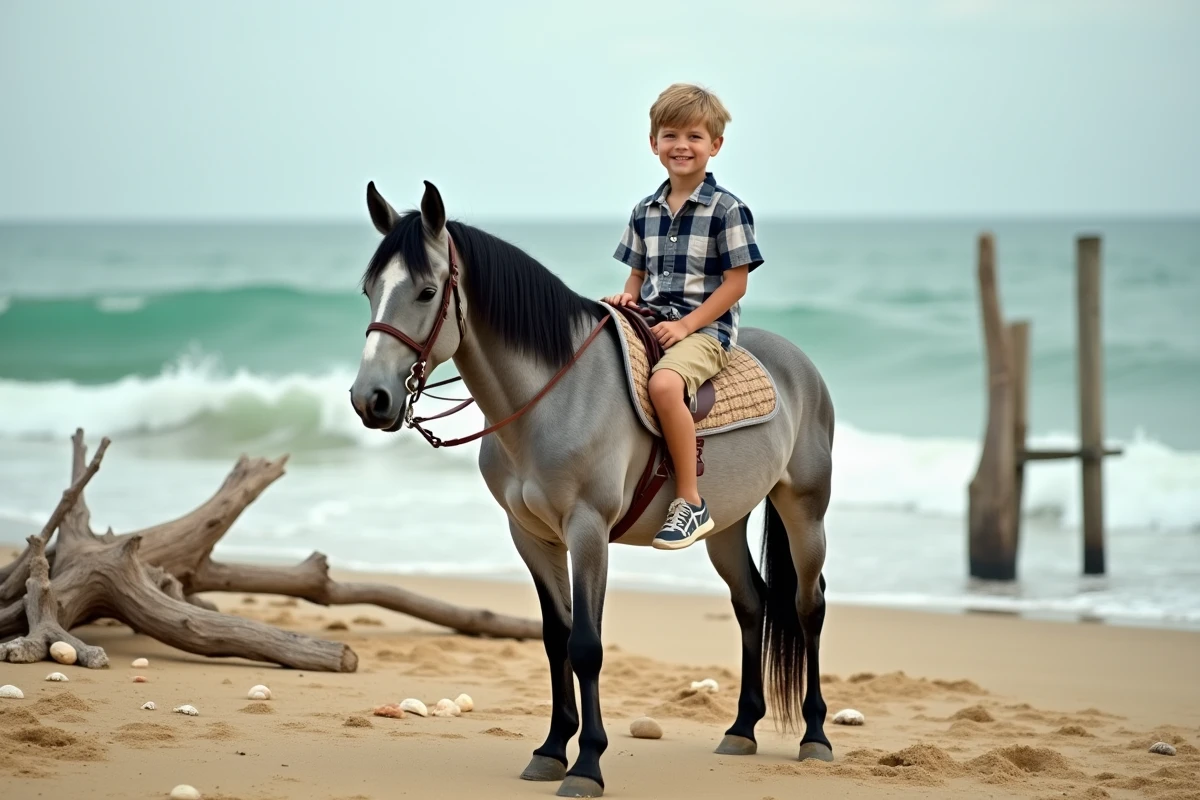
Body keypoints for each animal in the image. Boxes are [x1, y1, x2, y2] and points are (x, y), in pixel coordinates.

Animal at [348, 180, 836, 798]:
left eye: (427, 291)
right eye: (370, 290)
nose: (371, 399)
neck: (555, 395)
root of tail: (801, 365)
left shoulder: (587, 531)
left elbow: (586, 645)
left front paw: (587, 764)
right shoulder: (532, 536)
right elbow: (556, 638)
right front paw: (552, 749)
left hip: (805, 512)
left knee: (807, 606)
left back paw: (815, 736)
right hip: (726, 525)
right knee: (752, 602)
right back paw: (741, 729)